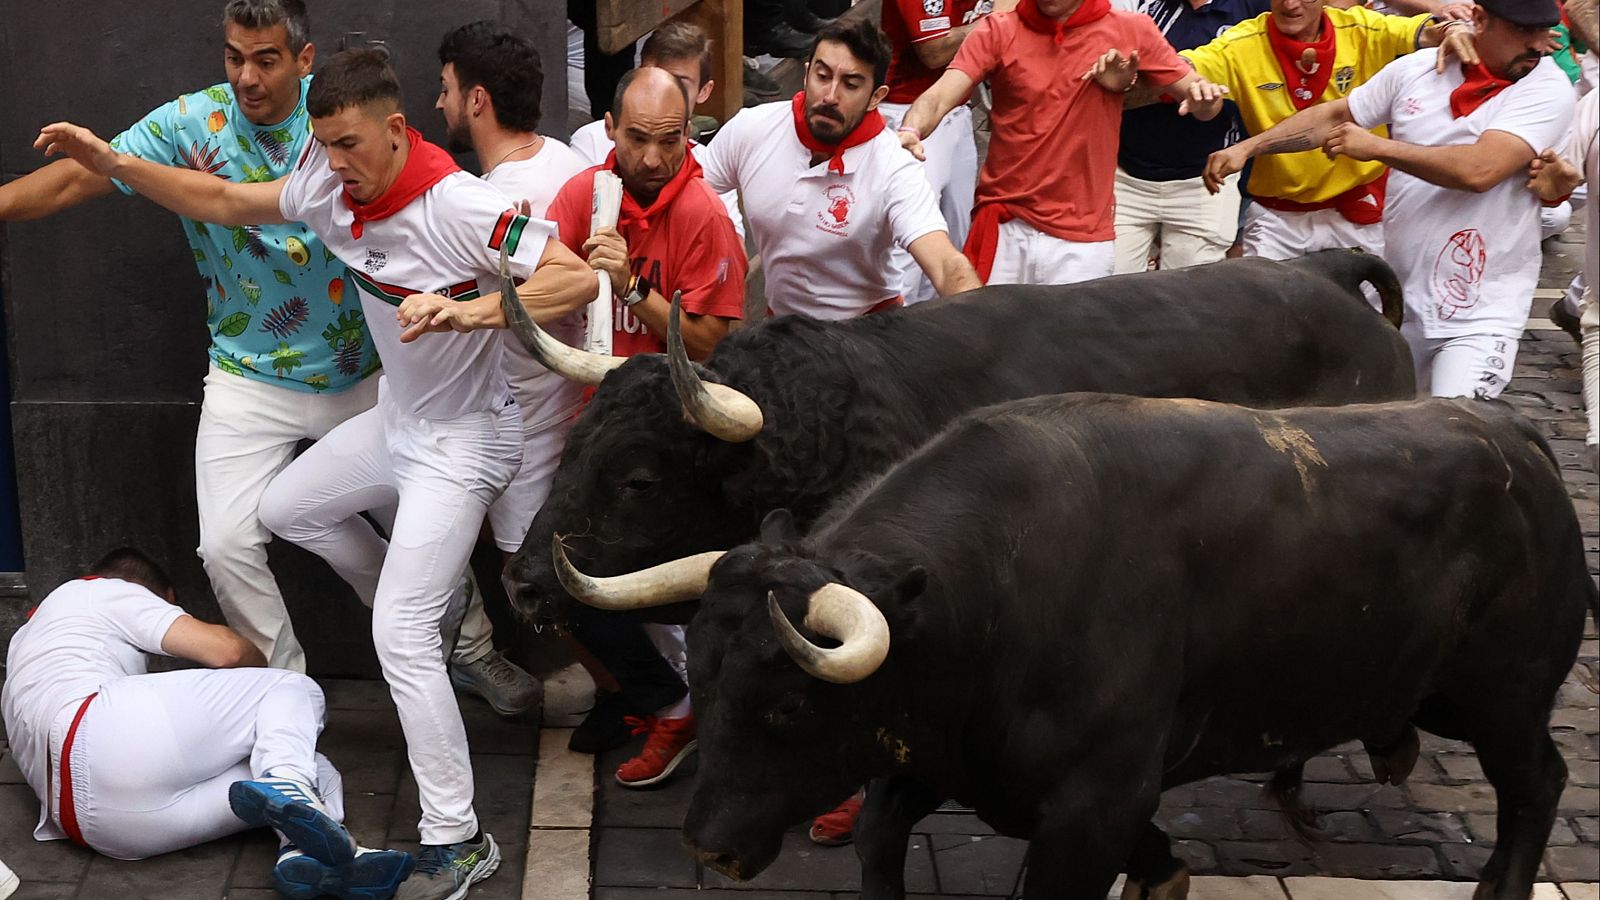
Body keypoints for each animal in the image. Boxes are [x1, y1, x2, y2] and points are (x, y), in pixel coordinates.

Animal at [678, 395, 1600, 896]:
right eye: (703, 679)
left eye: (788, 705)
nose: (709, 846)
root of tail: (1512, 434)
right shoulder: (946, 755)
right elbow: (877, 839)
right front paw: (1162, 872)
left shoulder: (1095, 803)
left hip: (1505, 700)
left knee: (1539, 784)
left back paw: (1498, 888)